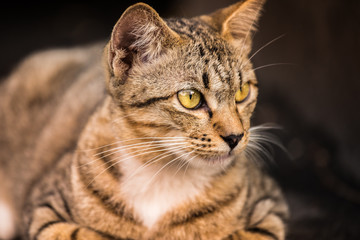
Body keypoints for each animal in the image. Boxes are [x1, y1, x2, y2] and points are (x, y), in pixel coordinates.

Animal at [0, 0, 286, 239]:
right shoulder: (44, 207)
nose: (235, 137)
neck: (163, 174)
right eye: (190, 97)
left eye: (242, 92)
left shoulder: (271, 208)